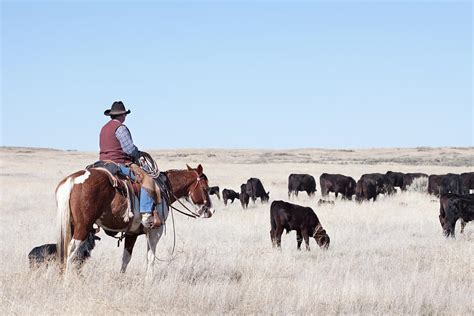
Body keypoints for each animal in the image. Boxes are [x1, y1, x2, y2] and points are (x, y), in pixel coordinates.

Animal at [54, 164, 215, 272]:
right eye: (205, 188)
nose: (211, 210)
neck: (164, 189)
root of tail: (73, 180)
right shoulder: (155, 232)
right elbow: (150, 258)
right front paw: (149, 283)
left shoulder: (132, 233)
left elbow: (126, 258)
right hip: (83, 226)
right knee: (70, 251)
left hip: (72, 225)